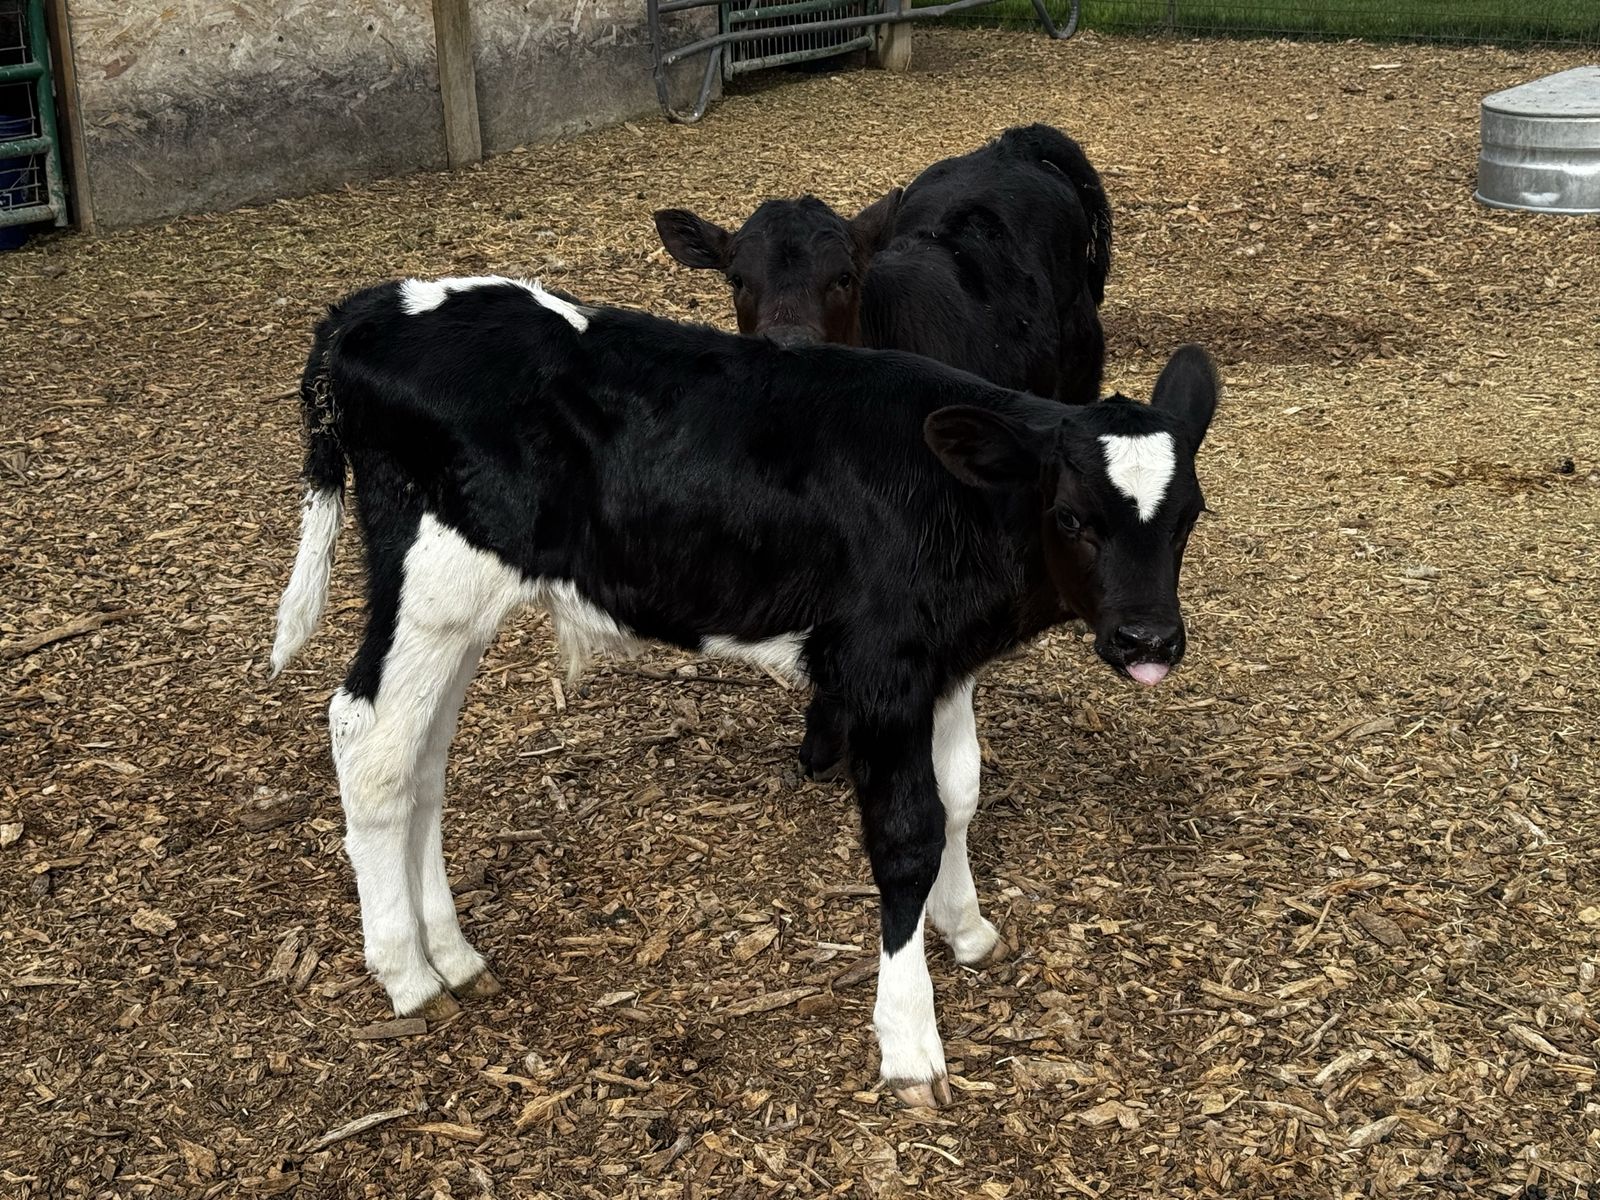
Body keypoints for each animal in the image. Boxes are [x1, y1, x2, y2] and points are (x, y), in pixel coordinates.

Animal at [270, 275, 1219, 1108]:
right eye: (1072, 517)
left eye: (1189, 517)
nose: (1148, 641)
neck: (954, 502)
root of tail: (368, 307)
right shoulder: (879, 669)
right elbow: (906, 835)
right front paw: (910, 1041)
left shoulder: (940, 663)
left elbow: (959, 795)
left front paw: (966, 924)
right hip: (434, 580)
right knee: (371, 745)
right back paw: (408, 973)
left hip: (460, 606)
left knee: (424, 758)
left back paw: (454, 954)